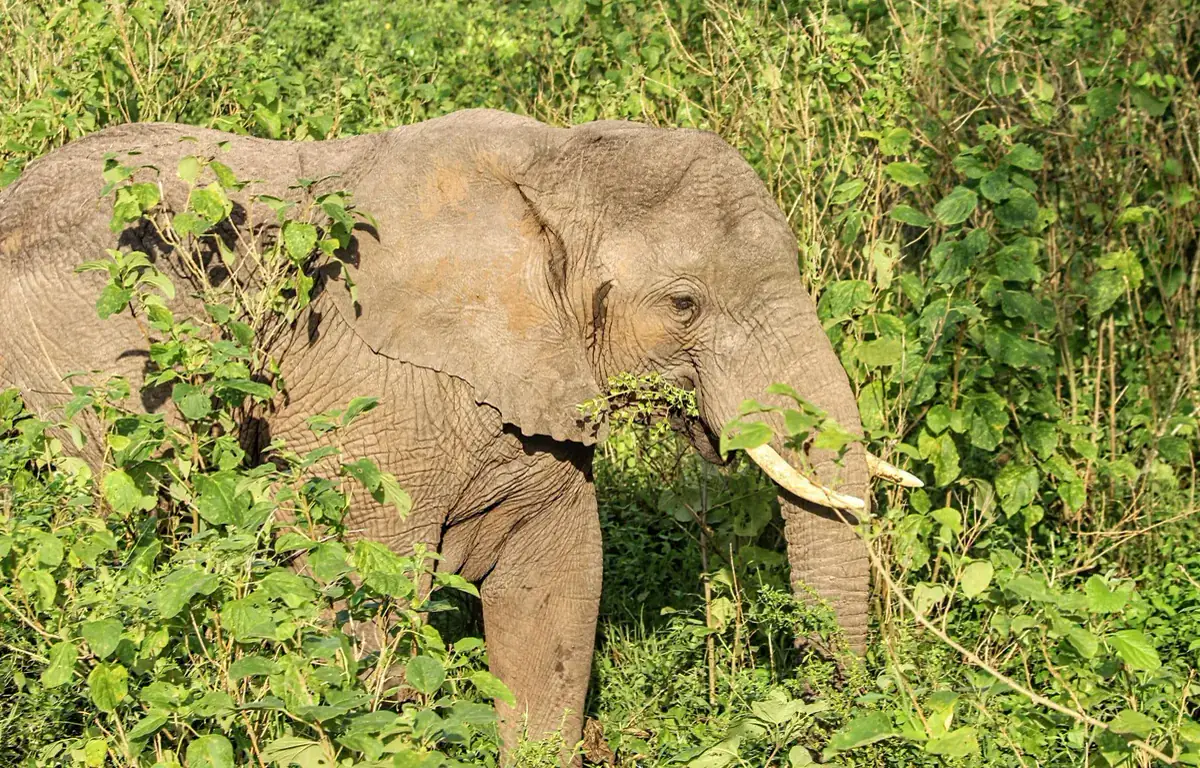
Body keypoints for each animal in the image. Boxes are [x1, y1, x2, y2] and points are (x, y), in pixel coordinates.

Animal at [0, 108, 918, 759]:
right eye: (685, 303)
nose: (834, 713)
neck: (553, 167)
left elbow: (554, 589)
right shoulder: (371, 405)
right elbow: (367, 593)